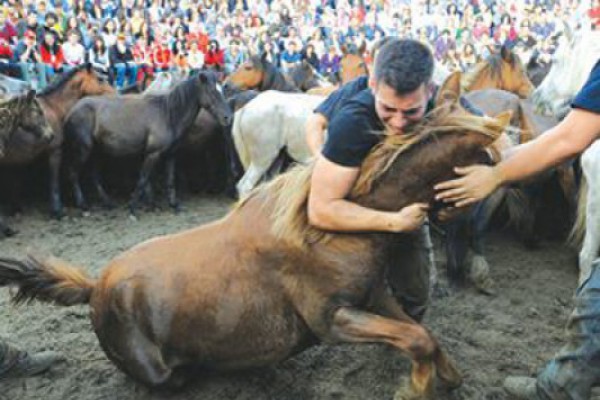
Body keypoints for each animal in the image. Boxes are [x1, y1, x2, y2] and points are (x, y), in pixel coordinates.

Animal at [0, 87, 508, 400]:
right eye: (488, 159)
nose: (485, 220)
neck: (332, 225)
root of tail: (95, 286)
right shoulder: (332, 319)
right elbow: (416, 338)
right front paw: (417, 386)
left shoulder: (373, 296)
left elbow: (422, 333)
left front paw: (449, 377)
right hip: (160, 372)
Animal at [63, 72, 232, 216]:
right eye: (212, 91)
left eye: (222, 90)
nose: (227, 117)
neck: (167, 114)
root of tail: (73, 110)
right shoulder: (152, 154)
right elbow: (143, 179)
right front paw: (133, 209)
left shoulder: (170, 155)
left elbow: (169, 181)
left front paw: (173, 205)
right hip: (83, 150)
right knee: (73, 173)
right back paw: (83, 206)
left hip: (96, 152)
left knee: (94, 176)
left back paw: (107, 203)